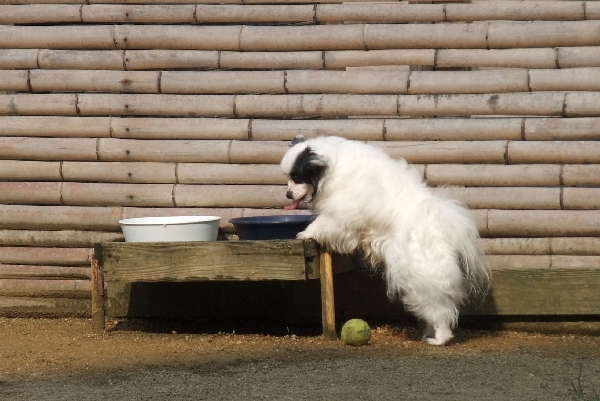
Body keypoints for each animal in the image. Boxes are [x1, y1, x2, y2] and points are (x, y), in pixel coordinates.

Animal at [280, 135, 489, 345]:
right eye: (289, 178)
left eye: (297, 177)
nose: (287, 194)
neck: (332, 162)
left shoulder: (341, 214)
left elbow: (322, 224)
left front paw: (306, 233)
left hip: (420, 279)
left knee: (439, 310)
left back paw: (439, 339)